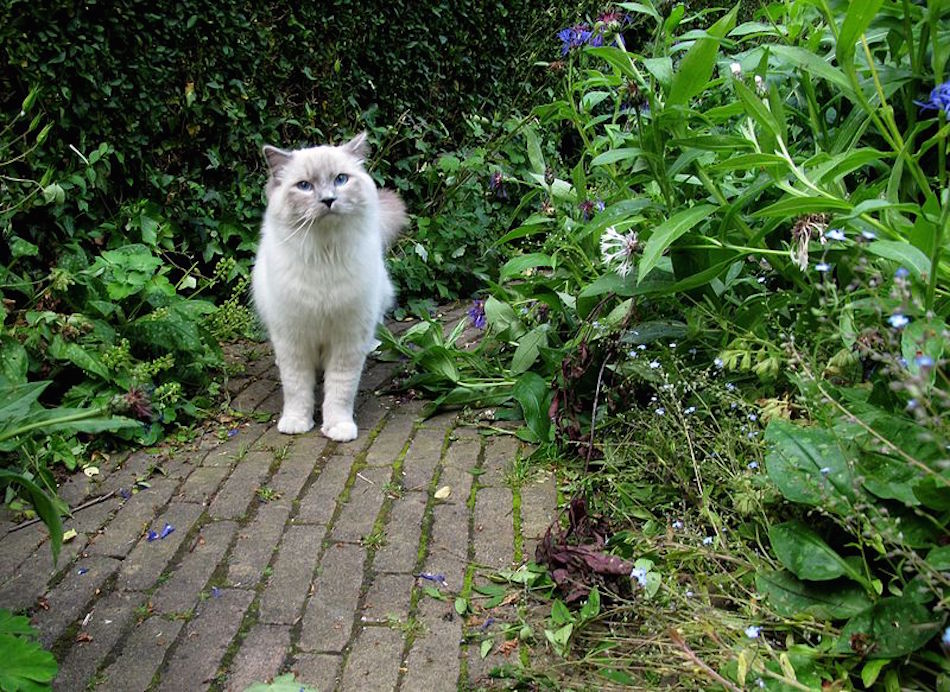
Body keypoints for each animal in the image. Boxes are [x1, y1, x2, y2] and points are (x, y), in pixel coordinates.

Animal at [251, 132, 408, 440]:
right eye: (304, 186)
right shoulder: (293, 340)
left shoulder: (347, 339)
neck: (324, 255)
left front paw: (338, 428)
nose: (328, 200)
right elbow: (297, 389)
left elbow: (340, 391)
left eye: (340, 179)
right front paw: (296, 423)